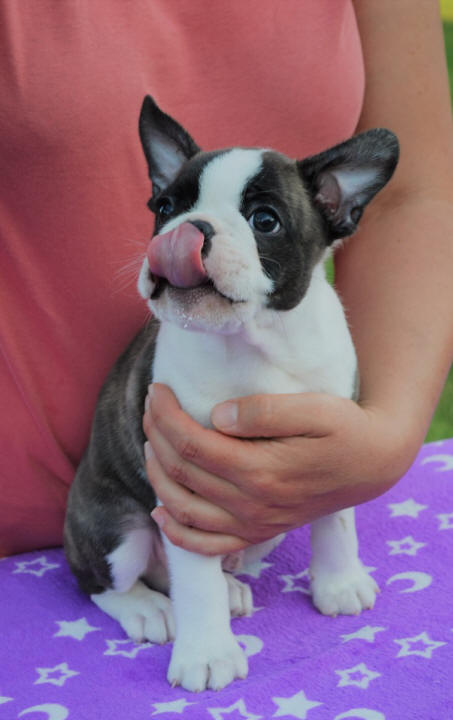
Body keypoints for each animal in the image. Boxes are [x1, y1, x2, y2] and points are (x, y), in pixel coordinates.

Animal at [64, 96, 399, 692]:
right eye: (164, 207)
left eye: (264, 220)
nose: (187, 229)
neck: (254, 342)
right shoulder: (186, 485)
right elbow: (193, 580)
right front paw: (206, 654)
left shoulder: (333, 440)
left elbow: (336, 517)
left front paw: (338, 582)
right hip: (115, 530)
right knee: (106, 581)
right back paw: (150, 609)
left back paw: (229, 588)